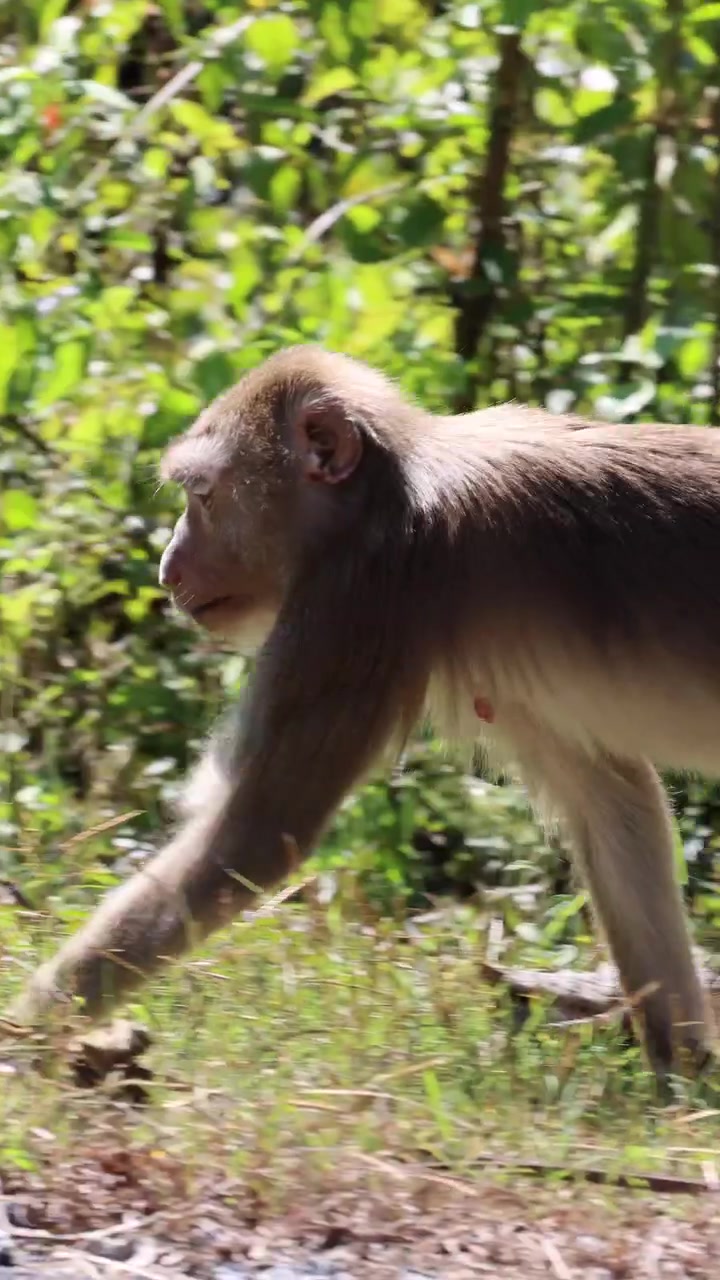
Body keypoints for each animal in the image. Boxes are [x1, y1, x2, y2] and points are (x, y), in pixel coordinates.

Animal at [9, 344, 720, 1083]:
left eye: (202, 496)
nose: (168, 567)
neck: (388, 493)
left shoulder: (356, 595)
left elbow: (254, 838)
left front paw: (24, 1040)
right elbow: (612, 803)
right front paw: (681, 1069)